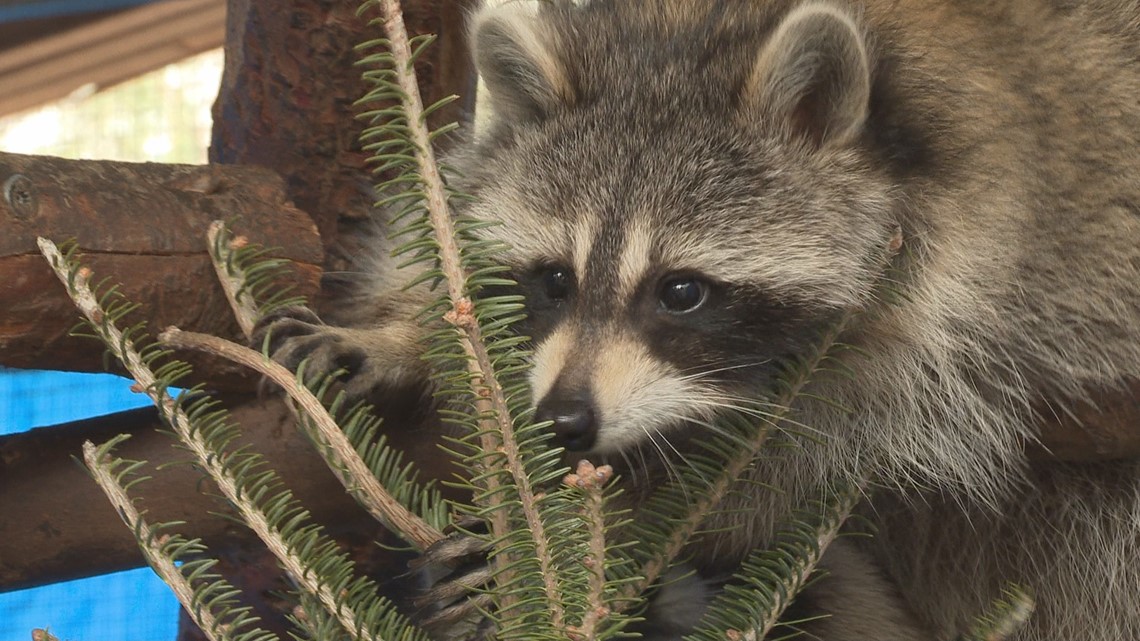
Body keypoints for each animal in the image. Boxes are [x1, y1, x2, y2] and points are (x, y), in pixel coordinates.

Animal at [259, 0, 1140, 639]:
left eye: (681, 291)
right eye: (554, 280)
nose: (563, 421)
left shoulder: (1004, 288)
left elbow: (807, 459)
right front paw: (401, 334)